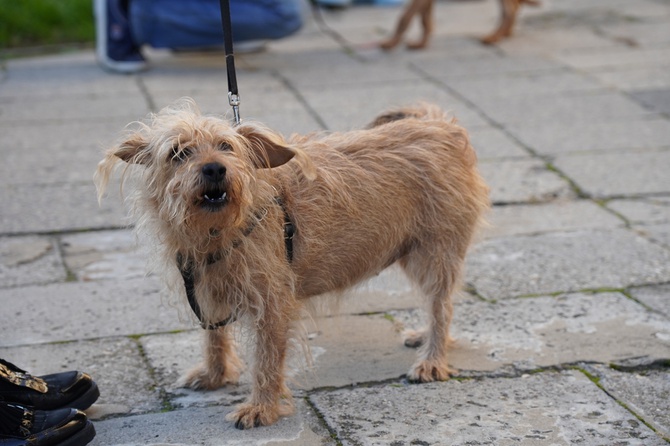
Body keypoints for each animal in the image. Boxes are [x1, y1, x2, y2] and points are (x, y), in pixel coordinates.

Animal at [94, 98, 490, 428]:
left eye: (226, 147)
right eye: (178, 152)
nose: (215, 169)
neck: (218, 230)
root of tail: (441, 126)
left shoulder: (273, 303)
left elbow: (267, 360)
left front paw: (261, 407)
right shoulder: (208, 292)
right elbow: (215, 339)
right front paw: (215, 376)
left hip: (435, 253)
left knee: (442, 304)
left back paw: (433, 358)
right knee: (438, 303)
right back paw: (426, 337)